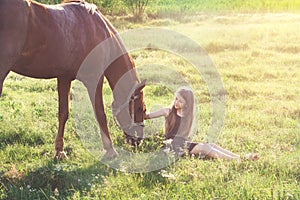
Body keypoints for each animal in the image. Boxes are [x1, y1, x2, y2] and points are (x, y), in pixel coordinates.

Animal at [0, 0, 146, 159]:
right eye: (140, 108)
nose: (138, 140)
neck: (100, 30)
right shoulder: (95, 80)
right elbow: (100, 113)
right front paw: (110, 149)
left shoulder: (64, 78)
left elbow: (63, 113)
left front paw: (59, 150)